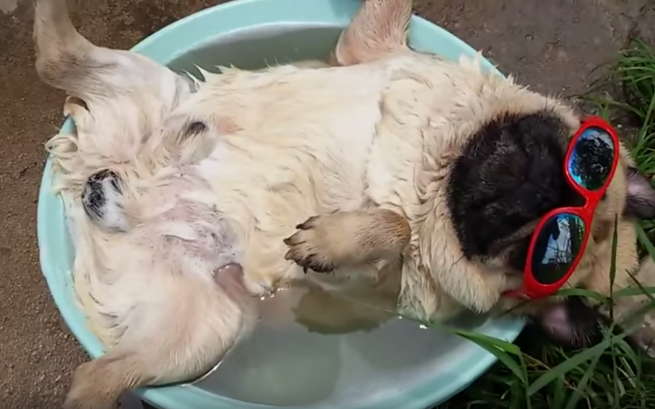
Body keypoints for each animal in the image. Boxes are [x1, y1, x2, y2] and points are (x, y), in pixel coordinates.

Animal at [34, 0, 655, 408]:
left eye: (542, 252)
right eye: (589, 158)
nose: (541, 185)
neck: (439, 171)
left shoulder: (363, 287)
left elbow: (393, 224)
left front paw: (333, 236)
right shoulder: (372, 47)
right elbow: (387, 8)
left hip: (205, 332)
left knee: (95, 381)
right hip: (155, 90)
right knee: (56, 57)